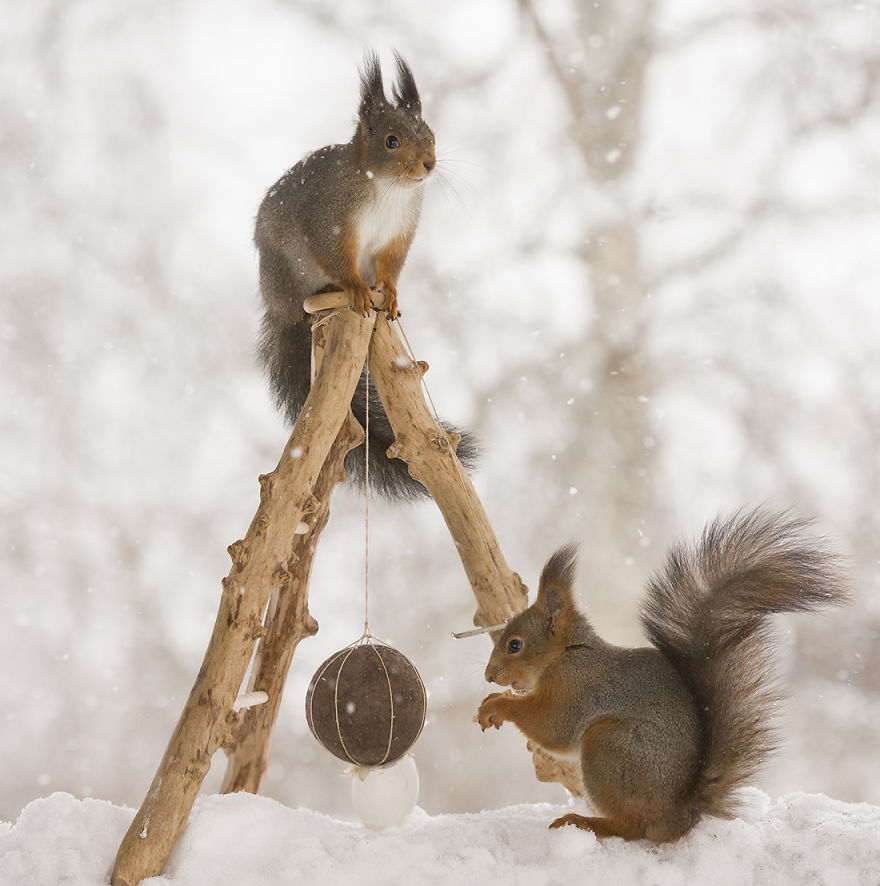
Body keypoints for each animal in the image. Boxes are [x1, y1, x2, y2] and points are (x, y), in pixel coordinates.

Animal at [254, 51, 477, 498]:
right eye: (391, 141)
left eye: (430, 134)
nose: (429, 165)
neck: (389, 189)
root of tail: (278, 307)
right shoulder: (331, 222)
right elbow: (340, 258)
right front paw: (357, 289)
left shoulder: (400, 232)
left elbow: (391, 265)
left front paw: (388, 292)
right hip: (289, 271)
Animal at [475, 509, 849, 842]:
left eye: (515, 645)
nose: (490, 676)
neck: (566, 655)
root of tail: (678, 813)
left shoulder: (577, 690)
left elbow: (553, 729)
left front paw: (497, 705)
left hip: (608, 749)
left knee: (631, 826)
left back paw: (585, 822)